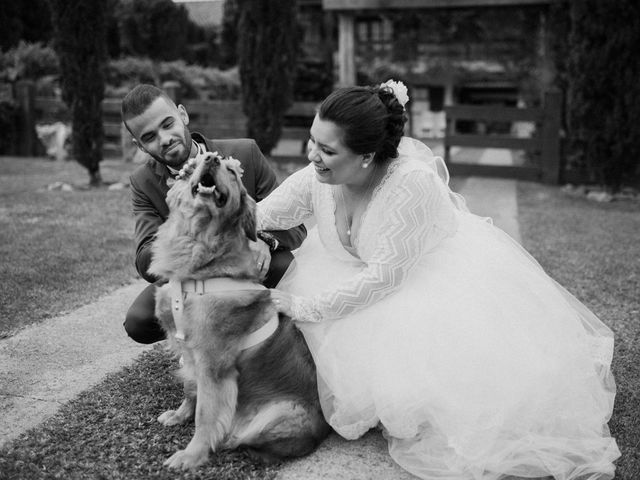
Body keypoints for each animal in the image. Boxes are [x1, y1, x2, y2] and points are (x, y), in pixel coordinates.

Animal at [149, 153, 330, 468]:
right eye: (192, 167)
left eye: (231, 171)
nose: (210, 158)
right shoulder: (190, 352)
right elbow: (191, 388)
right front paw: (180, 414)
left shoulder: (214, 365)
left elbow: (206, 414)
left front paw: (191, 454)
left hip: (279, 414)